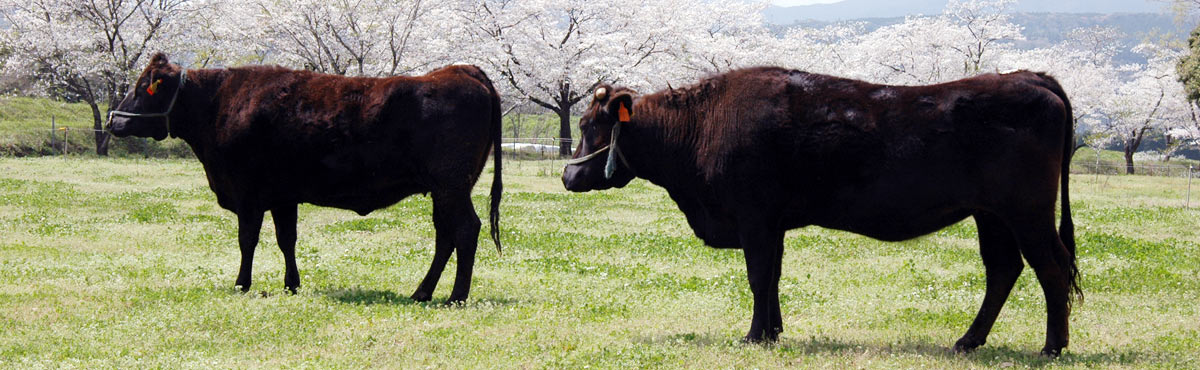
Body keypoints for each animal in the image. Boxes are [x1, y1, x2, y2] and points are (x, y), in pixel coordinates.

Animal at [108, 54, 501, 303]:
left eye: (143, 88)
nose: (114, 121)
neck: (219, 105)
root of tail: (460, 70)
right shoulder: (283, 195)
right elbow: (287, 240)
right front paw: (291, 285)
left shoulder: (248, 192)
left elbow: (247, 240)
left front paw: (241, 284)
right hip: (445, 190)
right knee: (445, 235)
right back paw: (423, 292)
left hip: (451, 186)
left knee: (465, 230)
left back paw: (455, 297)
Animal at [561, 66, 1080, 355]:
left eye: (588, 125)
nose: (568, 176)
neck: (702, 125)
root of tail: (1026, 77)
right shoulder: (773, 224)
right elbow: (771, 277)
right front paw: (772, 331)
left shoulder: (754, 217)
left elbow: (757, 276)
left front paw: (754, 337)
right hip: (992, 215)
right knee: (1003, 270)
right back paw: (968, 341)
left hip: (1028, 213)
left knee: (1052, 270)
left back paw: (1052, 347)